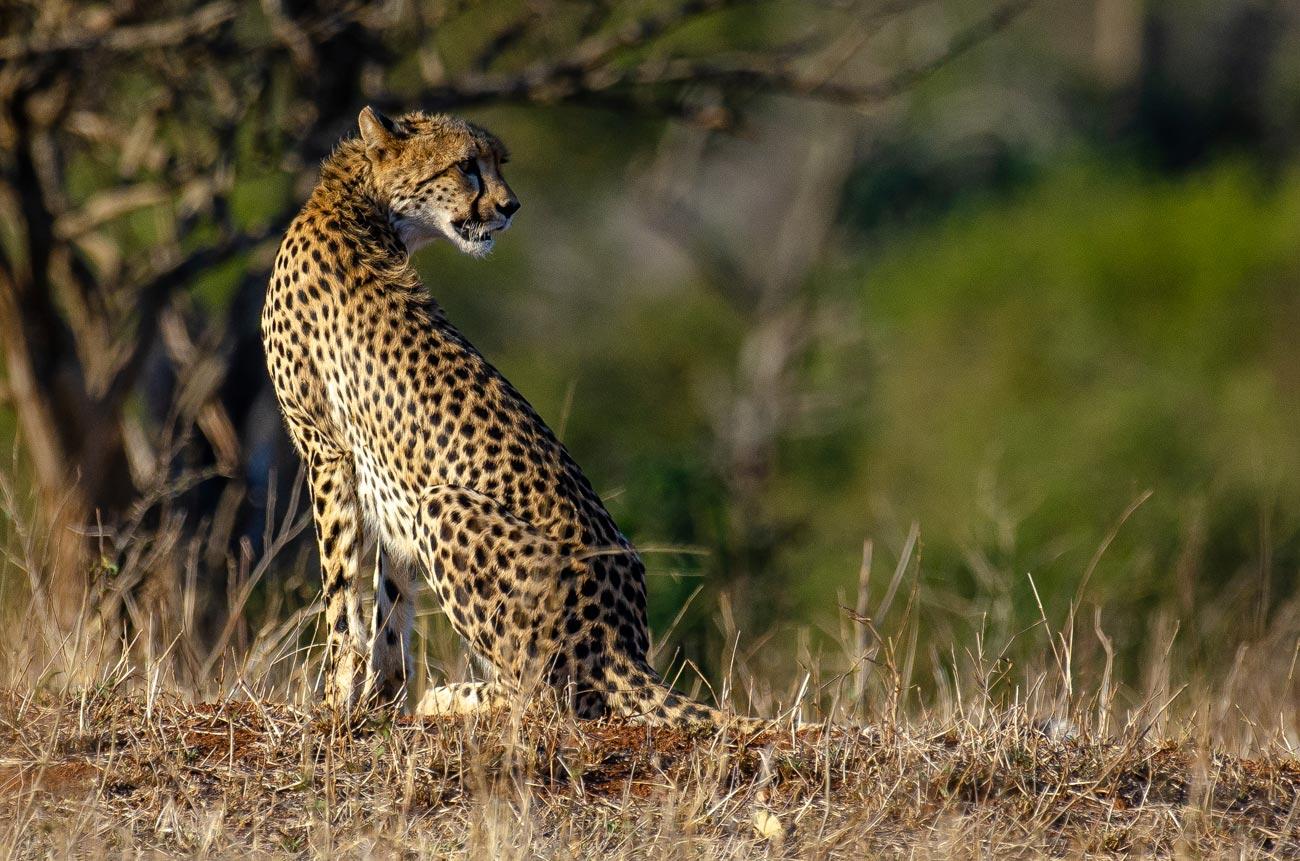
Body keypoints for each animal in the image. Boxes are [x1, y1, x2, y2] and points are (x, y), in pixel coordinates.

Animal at [262, 106, 756, 728]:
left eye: (497, 163)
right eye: (466, 166)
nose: (511, 206)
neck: (359, 207)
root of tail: (624, 642)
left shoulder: (327, 452)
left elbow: (342, 599)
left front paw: (333, 704)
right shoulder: (377, 482)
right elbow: (388, 606)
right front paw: (382, 702)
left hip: (442, 505)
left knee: (544, 696)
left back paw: (452, 699)